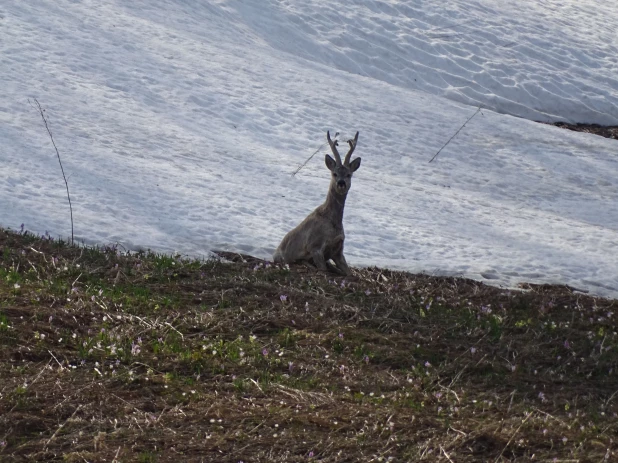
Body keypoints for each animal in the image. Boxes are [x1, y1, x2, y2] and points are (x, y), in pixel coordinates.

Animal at [270, 130, 358, 276]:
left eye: (349, 175)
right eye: (334, 173)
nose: (341, 183)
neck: (333, 223)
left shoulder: (338, 250)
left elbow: (350, 273)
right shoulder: (315, 246)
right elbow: (322, 269)